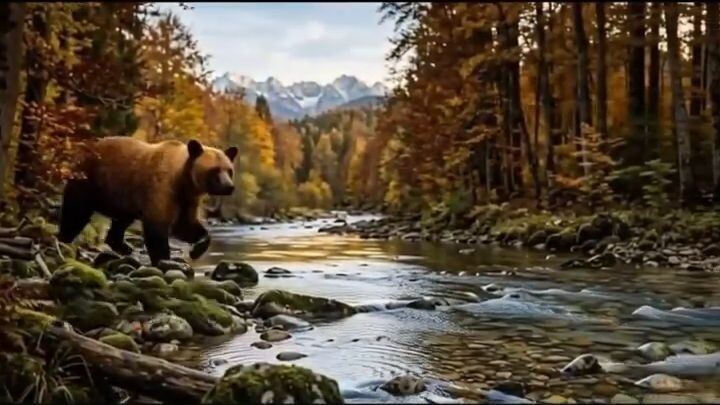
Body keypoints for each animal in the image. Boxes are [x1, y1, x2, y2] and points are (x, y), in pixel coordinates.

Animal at [57, 136, 238, 265]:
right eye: (215, 170)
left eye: (229, 170)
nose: (229, 187)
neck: (182, 180)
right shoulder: (161, 190)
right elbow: (157, 228)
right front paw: (165, 260)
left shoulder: (187, 200)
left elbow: (186, 226)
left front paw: (196, 249)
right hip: (88, 182)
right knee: (75, 214)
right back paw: (63, 241)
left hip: (124, 198)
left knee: (121, 221)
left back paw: (124, 246)